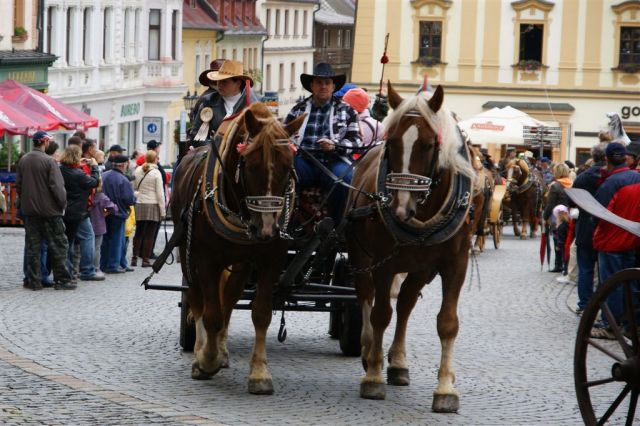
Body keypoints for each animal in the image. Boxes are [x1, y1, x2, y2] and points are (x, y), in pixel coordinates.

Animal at [170, 101, 304, 394]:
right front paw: (206, 360)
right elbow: (211, 314)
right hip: (188, 256)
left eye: (288, 166)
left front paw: (259, 373)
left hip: (241, 263)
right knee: (197, 299)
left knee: (229, 300)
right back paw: (201, 351)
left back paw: (221, 350)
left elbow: (260, 313)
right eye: (251, 165)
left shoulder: (271, 258)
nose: (267, 229)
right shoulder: (206, 260)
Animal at [344, 81, 476, 412]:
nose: (400, 208)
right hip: (361, 257)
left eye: (429, 145)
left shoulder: (455, 265)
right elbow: (380, 314)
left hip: (420, 268)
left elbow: (447, 323)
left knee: (405, 304)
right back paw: (370, 352)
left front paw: (445, 389)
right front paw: (373, 376)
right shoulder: (383, 263)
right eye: (391, 143)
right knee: (367, 298)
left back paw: (398, 363)